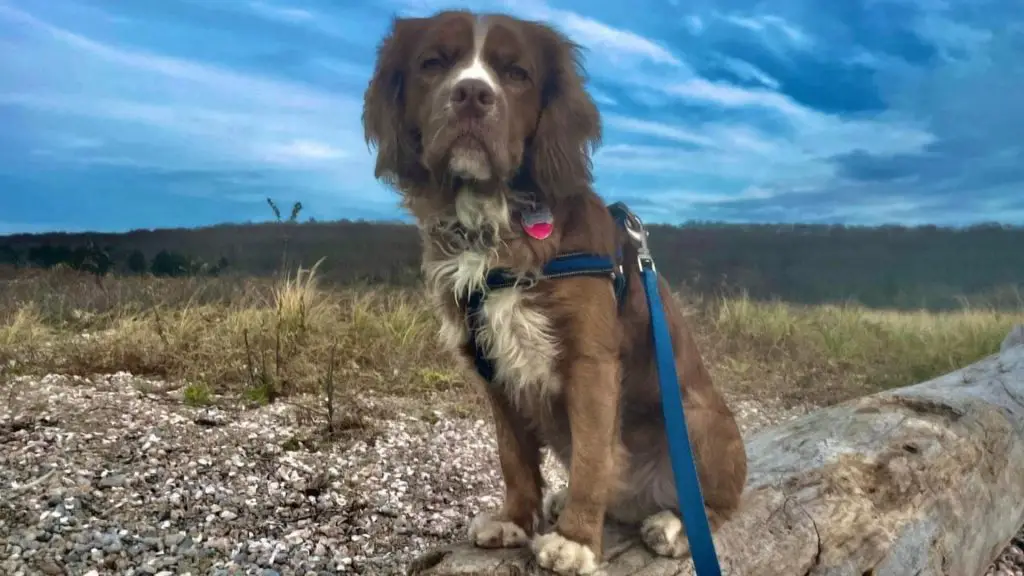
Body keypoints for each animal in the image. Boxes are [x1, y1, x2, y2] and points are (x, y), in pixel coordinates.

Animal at [364, 10, 749, 573]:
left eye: (517, 73)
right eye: (432, 63)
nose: (472, 94)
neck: (494, 225)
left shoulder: (590, 360)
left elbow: (592, 456)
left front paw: (577, 541)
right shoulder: (491, 365)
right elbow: (513, 456)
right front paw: (515, 521)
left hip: (696, 419)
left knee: (714, 505)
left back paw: (673, 526)